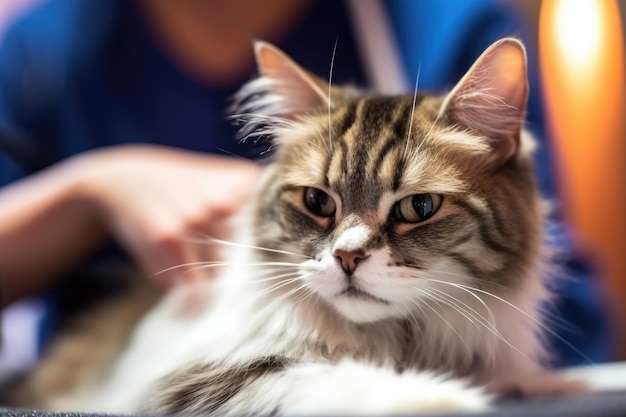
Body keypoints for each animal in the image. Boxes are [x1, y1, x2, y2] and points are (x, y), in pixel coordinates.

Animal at [3, 38, 584, 412]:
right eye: (316, 201)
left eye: (418, 208)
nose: (347, 257)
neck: (397, 339)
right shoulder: (188, 375)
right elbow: (322, 379)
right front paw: (445, 397)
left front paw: (553, 383)